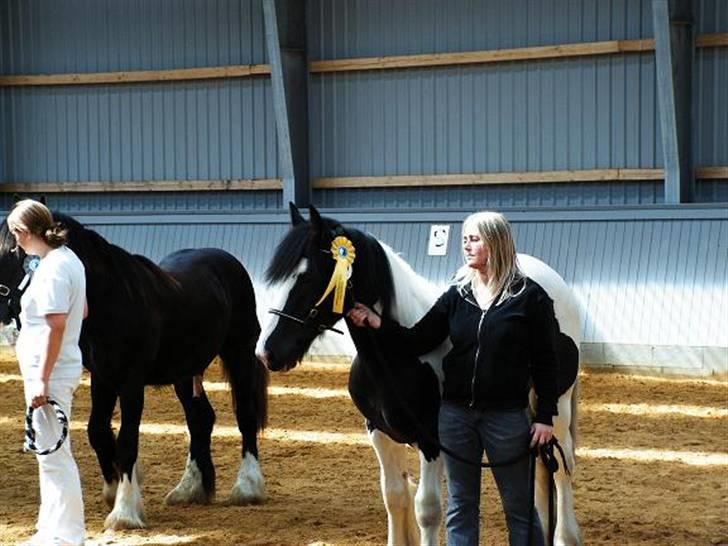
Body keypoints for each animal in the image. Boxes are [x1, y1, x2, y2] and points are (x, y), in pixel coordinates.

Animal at [0, 211, 270, 528]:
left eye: (10, 251)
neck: (113, 301)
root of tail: (227, 261)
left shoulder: (131, 382)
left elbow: (128, 441)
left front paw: (125, 511)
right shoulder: (102, 379)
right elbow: (97, 431)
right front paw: (112, 488)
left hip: (238, 352)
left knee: (245, 415)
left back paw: (247, 487)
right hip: (184, 372)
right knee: (200, 419)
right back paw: (189, 488)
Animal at [258, 204, 584, 544]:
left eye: (306, 277)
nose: (267, 352)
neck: (399, 355)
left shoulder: (433, 441)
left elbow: (427, 508)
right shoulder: (379, 434)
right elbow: (394, 496)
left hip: (556, 408)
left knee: (561, 467)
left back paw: (565, 536)